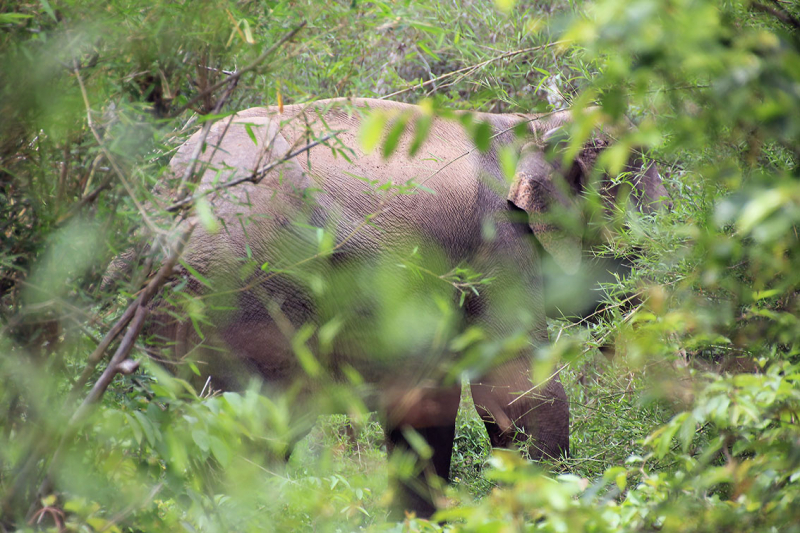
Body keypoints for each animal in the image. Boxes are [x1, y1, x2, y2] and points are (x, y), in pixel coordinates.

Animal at [142, 96, 664, 516]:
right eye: (636, 242)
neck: (531, 123)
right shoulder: (498, 244)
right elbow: (518, 389)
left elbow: (427, 406)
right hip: (248, 298)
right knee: (252, 435)